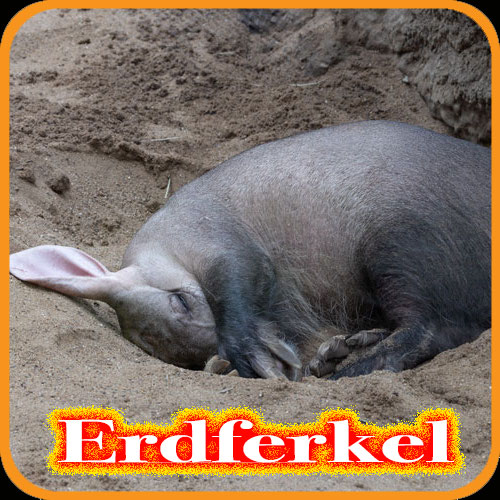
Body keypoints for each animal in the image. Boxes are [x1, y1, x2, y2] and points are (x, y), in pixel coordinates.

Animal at [10, 121, 490, 381]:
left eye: (181, 301)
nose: (285, 357)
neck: (165, 244)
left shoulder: (219, 242)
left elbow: (239, 283)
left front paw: (261, 361)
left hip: (402, 243)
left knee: (435, 326)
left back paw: (349, 364)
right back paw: (338, 352)